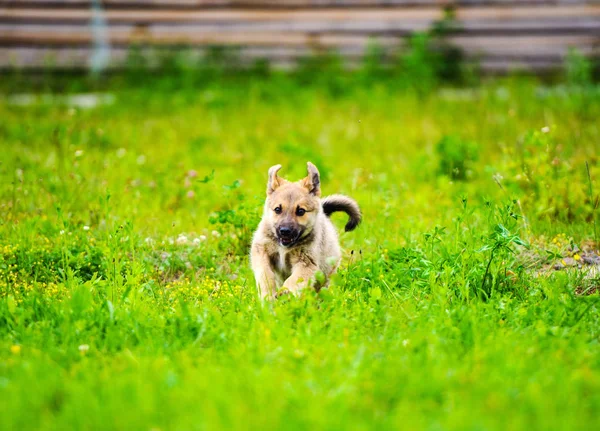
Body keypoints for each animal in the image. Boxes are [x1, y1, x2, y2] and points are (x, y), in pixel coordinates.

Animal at [250, 162, 360, 300]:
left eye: (300, 211)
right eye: (277, 209)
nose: (285, 231)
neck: (284, 248)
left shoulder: (306, 263)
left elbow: (294, 280)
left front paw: (285, 293)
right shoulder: (261, 251)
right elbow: (265, 274)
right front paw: (268, 294)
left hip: (325, 276)